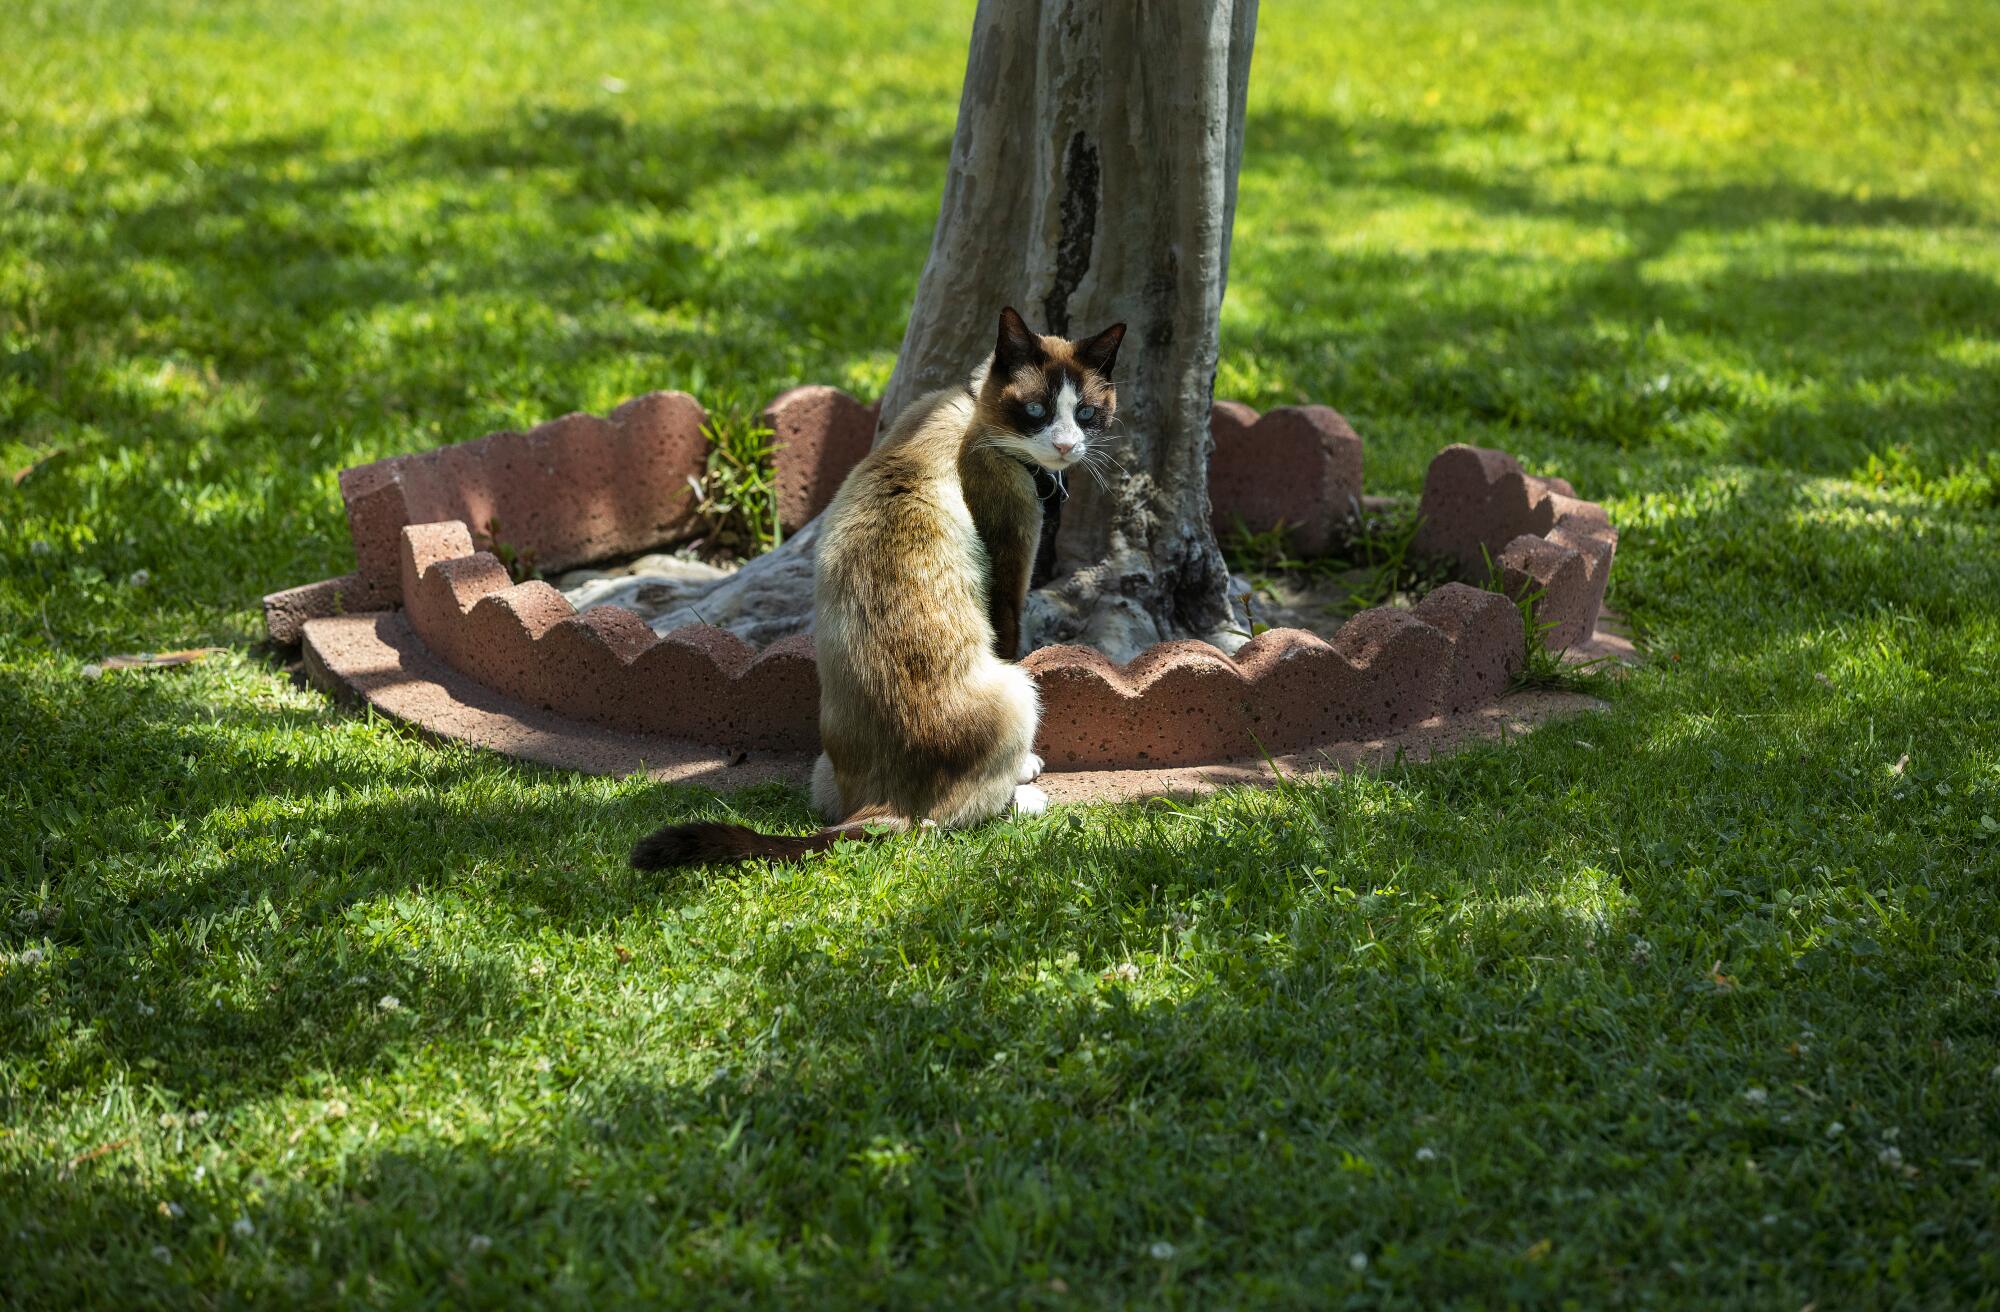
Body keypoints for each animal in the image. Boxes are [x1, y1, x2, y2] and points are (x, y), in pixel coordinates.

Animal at [628, 308, 1128, 872]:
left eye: (1085, 413)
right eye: (1037, 410)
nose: (1064, 445)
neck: (971, 408)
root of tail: (879, 805)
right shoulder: (1009, 568)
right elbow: (1010, 635)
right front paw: (1026, 770)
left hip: (825, 769)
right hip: (1019, 691)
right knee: (940, 820)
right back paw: (1025, 796)